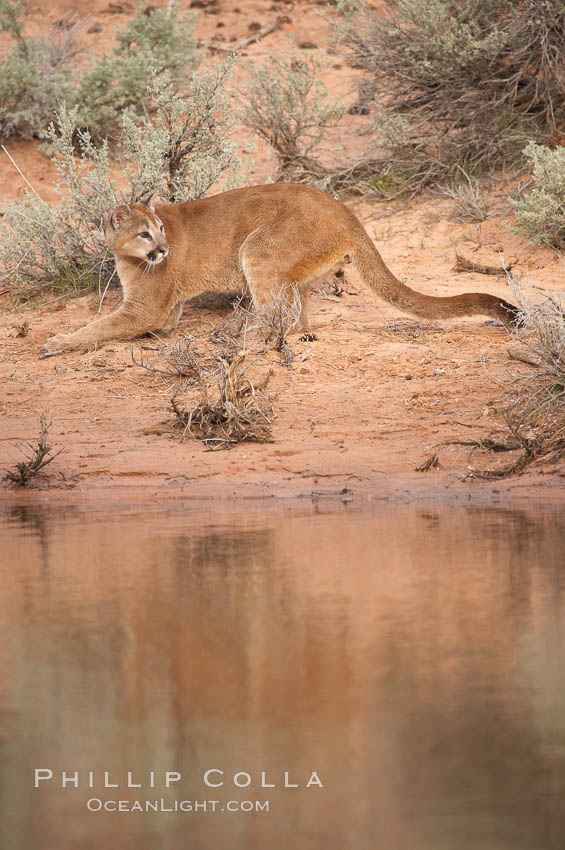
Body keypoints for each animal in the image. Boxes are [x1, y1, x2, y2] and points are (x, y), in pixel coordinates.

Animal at [44, 184, 516, 352]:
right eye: (145, 233)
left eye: (160, 229)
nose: (163, 249)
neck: (128, 258)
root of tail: (346, 211)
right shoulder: (162, 311)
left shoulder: (146, 307)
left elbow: (101, 326)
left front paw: (57, 342)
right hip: (293, 268)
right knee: (296, 305)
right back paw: (302, 331)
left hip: (258, 250)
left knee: (276, 312)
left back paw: (240, 337)